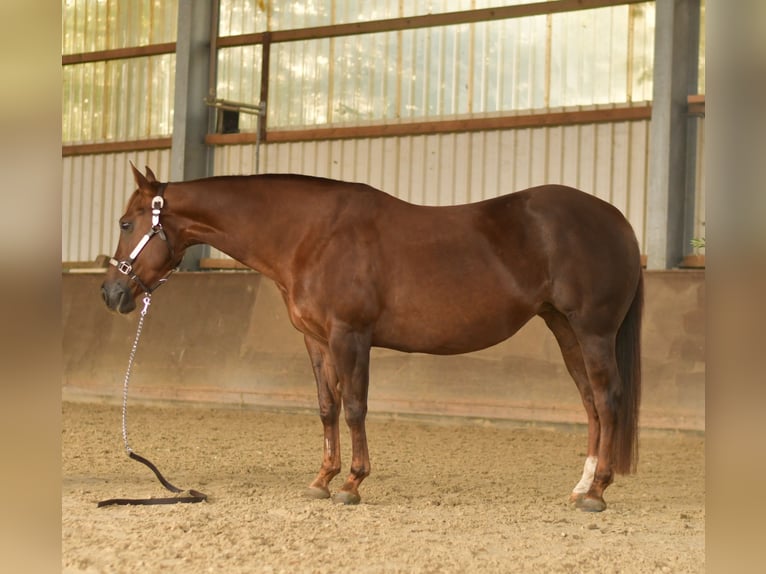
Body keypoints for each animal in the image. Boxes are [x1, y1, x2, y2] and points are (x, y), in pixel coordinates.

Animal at [102, 164, 643, 512]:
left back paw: (598, 493)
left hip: (592, 330)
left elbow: (356, 407)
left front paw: (352, 484)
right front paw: (322, 479)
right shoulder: (317, 342)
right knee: (591, 402)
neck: (311, 236)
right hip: (564, 329)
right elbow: (327, 407)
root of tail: (617, 218)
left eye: (127, 222)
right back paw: (581, 486)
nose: (111, 292)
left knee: (608, 398)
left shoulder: (351, 336)